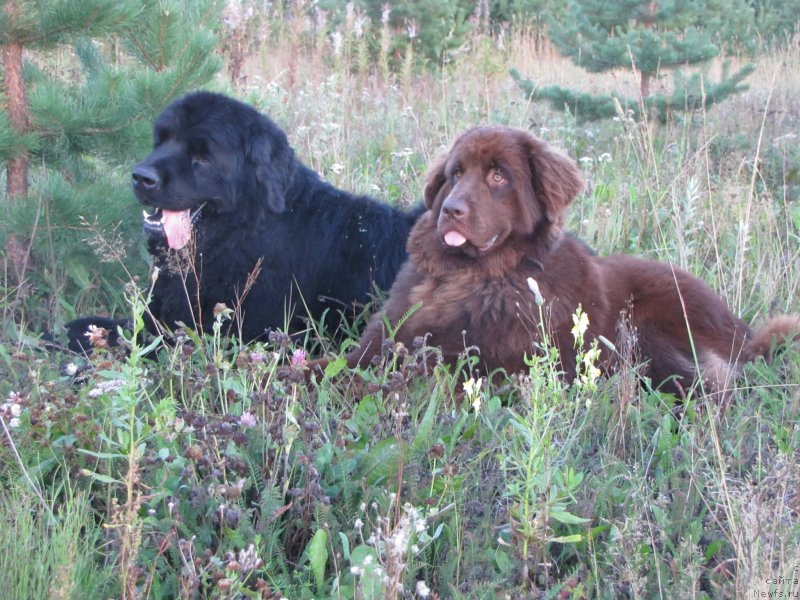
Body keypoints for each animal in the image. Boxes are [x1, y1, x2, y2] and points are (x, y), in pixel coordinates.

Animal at [322, 126, 796, 396]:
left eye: (498, 175)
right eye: (456, 173)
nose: (450, 210)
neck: (472, 275)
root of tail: (744, 335)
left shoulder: (479, 366)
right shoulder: (380, 341)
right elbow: (334, 366)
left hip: (646, 331)